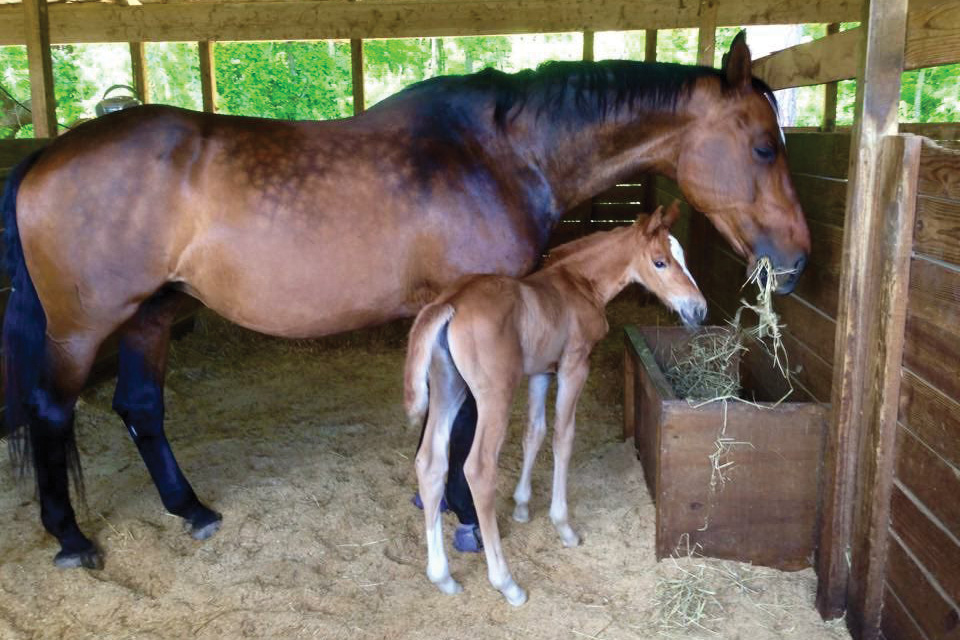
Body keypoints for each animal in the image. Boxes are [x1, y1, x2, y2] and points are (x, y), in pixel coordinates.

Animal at [402, 204, 708, 604]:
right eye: (660, 261)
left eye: (684, 257)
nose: (699, 310)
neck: (578, 282)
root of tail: (449, 302)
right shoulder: (574, 365)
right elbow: (563, 436)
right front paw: (564, 526)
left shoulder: (541, 372)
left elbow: (534, 433)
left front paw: (521, 506)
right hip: (495, 394)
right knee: (478, 469)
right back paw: (507, 583)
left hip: (447, 387)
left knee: (430, 463)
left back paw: (443, 578)